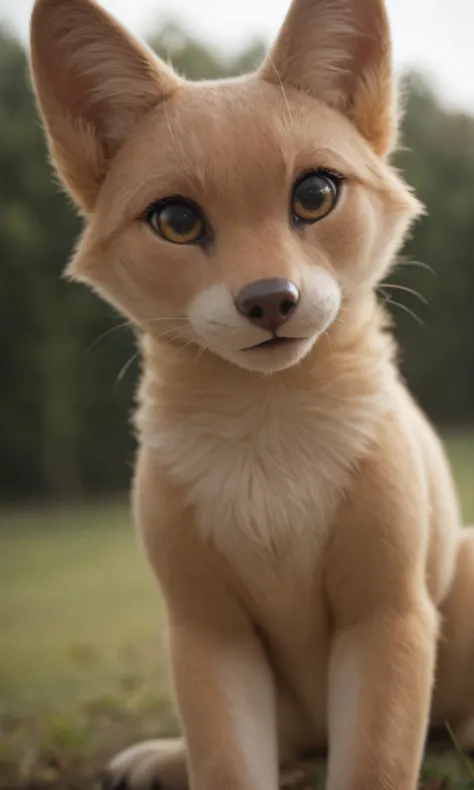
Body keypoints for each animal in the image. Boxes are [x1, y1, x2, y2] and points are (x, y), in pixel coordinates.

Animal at [28, 0, 474, 788]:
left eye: (315, 194)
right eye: (176, 220)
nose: (270, 299)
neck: (269, 433)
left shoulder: (386, 615)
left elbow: (375, 761)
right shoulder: (208, 632)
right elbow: (227, 761)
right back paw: (158, 756)